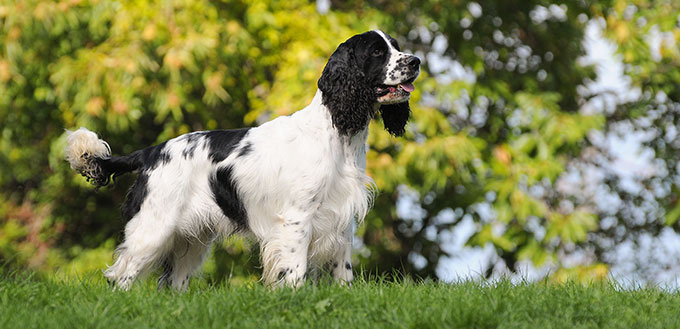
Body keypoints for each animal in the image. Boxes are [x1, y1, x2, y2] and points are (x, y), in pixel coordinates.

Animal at [66, 29, 422, 288]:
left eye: (396, 46)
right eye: (377, 52)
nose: (416, 61)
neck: (337, 133)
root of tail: (150, 152)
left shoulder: (342, 219)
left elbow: (343, 271)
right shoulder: (297, 218)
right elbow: (294, 270)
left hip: (192, 240)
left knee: (173, 283)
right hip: (152, 228)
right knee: (120, 277)